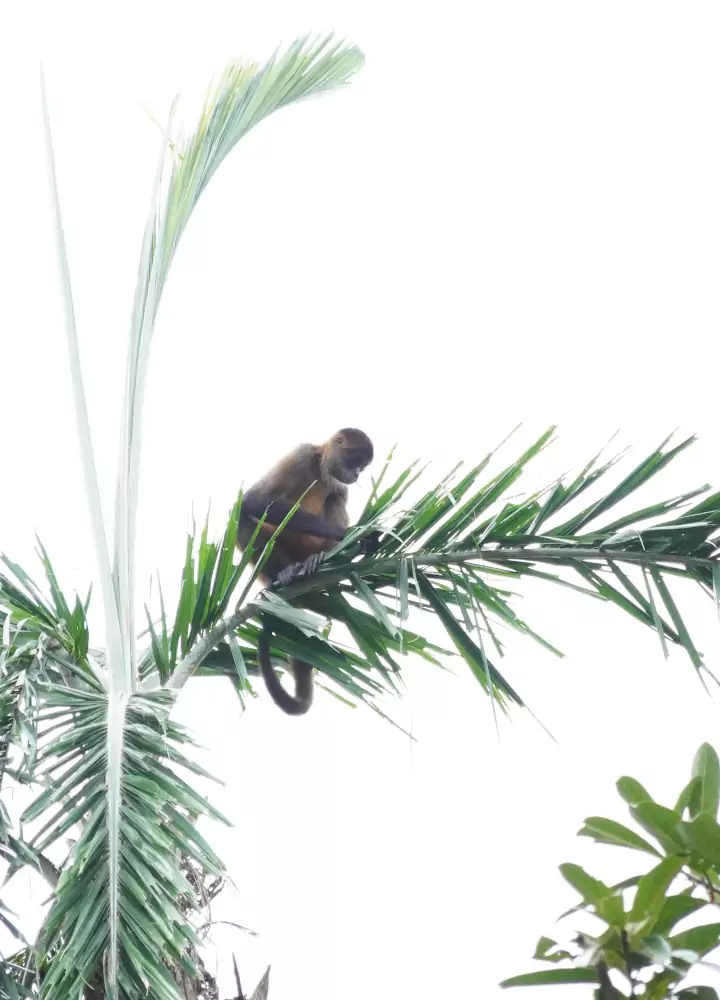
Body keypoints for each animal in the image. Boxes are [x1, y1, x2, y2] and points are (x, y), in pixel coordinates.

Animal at [236, 428, 375, 715]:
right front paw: (349, 534)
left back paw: (314, 561)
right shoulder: (302, 453)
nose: (357, 475)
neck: (321, 465)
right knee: (243, 514)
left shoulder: (340, 483)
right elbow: (253, 500)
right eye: (355, 463)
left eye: (362, 468)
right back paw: (282, 575)